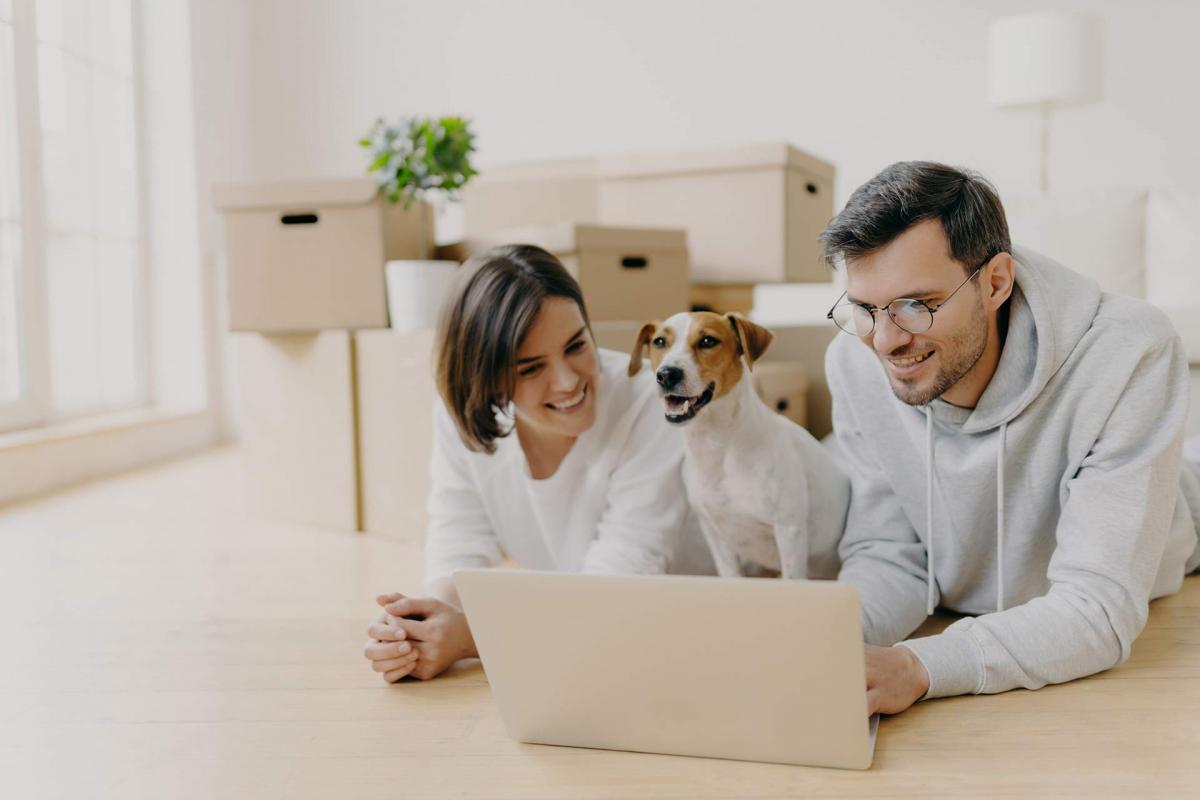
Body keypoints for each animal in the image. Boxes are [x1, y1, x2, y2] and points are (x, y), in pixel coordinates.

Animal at [633, 311, 849, 582]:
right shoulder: (715, 533)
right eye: (659, 342)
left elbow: (793, 576)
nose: (667, 374)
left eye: (707, 341)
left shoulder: (790, 531)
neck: (719, 448)